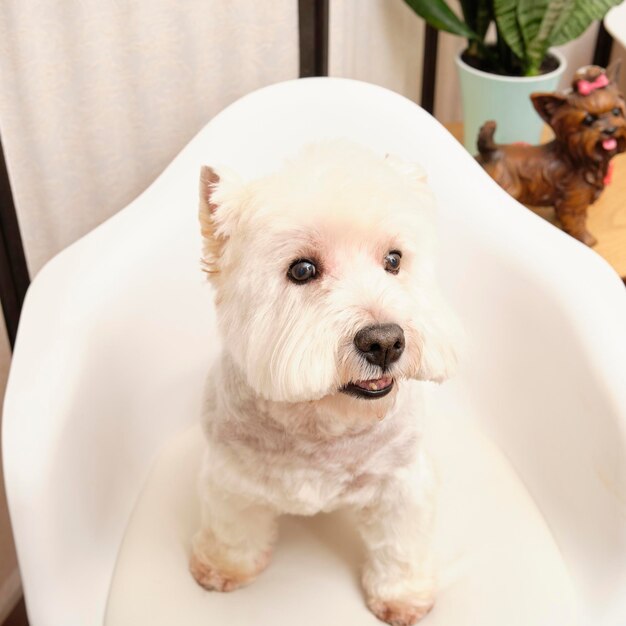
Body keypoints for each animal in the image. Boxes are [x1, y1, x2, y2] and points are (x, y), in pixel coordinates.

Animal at [188, 141, 456, 624]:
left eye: (393, 260)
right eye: (302, 270)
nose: (385, 342)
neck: (322, 425)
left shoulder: (401, 483)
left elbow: (399, 547)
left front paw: (403, 597)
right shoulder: (230, 477)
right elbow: (232, 529)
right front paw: (222, 568)